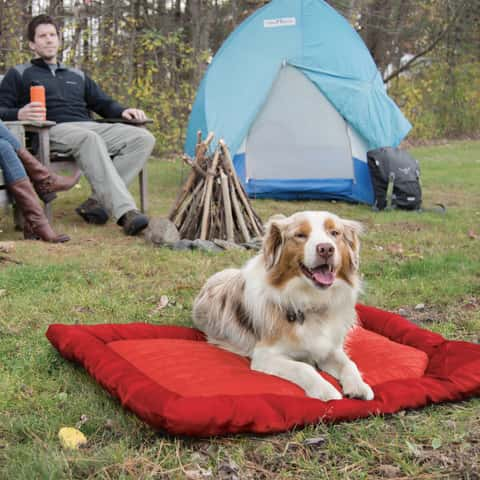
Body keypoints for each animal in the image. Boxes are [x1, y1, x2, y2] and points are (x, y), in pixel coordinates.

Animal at [192, 211, 376, 402]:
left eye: (334, 233)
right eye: (300, 235)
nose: (326, 249)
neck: (310, 301)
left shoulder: (329, 348)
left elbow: (350, 363)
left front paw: (359, 386)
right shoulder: (264, 356)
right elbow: (304, 367)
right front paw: (326, 390)